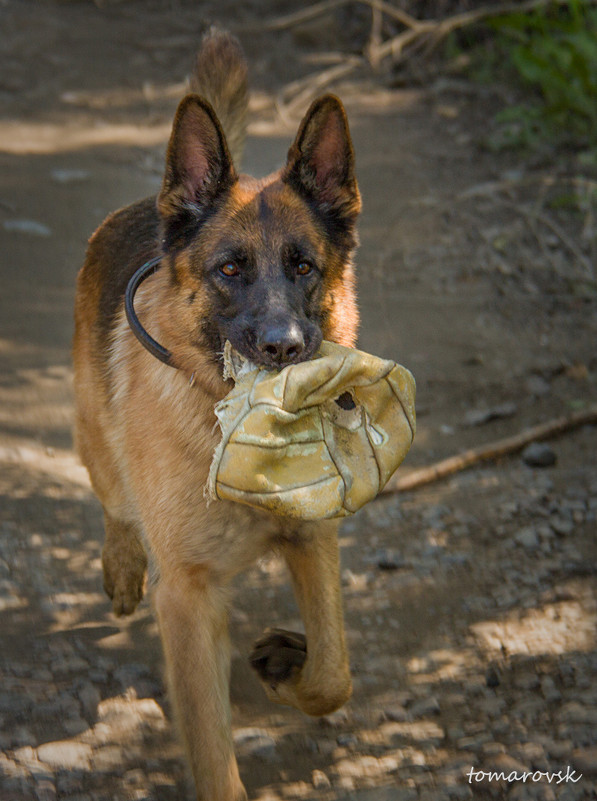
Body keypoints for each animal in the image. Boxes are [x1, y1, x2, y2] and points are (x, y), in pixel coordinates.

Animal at [74, 29, 360, 800]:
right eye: (230, 270)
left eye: (303, 266)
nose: (284, 347)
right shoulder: (188, 599)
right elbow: (210, 749)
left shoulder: (313, 539)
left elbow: (333, 674)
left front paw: (288, 663)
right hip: (95, 442)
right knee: (114, 502)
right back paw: (120, 563)